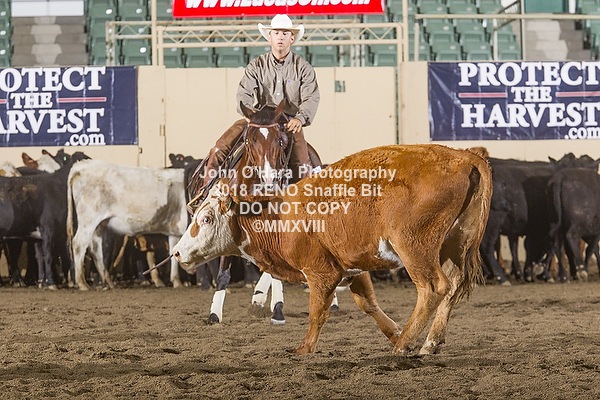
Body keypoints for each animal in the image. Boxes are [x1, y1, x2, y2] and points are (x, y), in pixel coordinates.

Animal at [67, 160, 189, 290]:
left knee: (95, 247)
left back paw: (109, 282)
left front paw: (177, 282)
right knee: (79, 244)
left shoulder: (175, 232)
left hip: (99, 224)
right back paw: (83, 283)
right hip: (88, 219)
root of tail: (82, 164)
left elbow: (174, 252)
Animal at [173, 144, 492, 355]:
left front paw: (304, 348)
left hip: (414, 246)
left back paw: (404, 347)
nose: (176, 253)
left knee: (434, 287)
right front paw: (395, 332)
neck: (281, 218)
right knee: (452, 287)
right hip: (455, 243)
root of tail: (465, 156)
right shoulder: (352, 267)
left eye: (206, 218)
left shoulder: (320, 272)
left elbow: (318, 312)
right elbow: (367, 303)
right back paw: (428, 343)